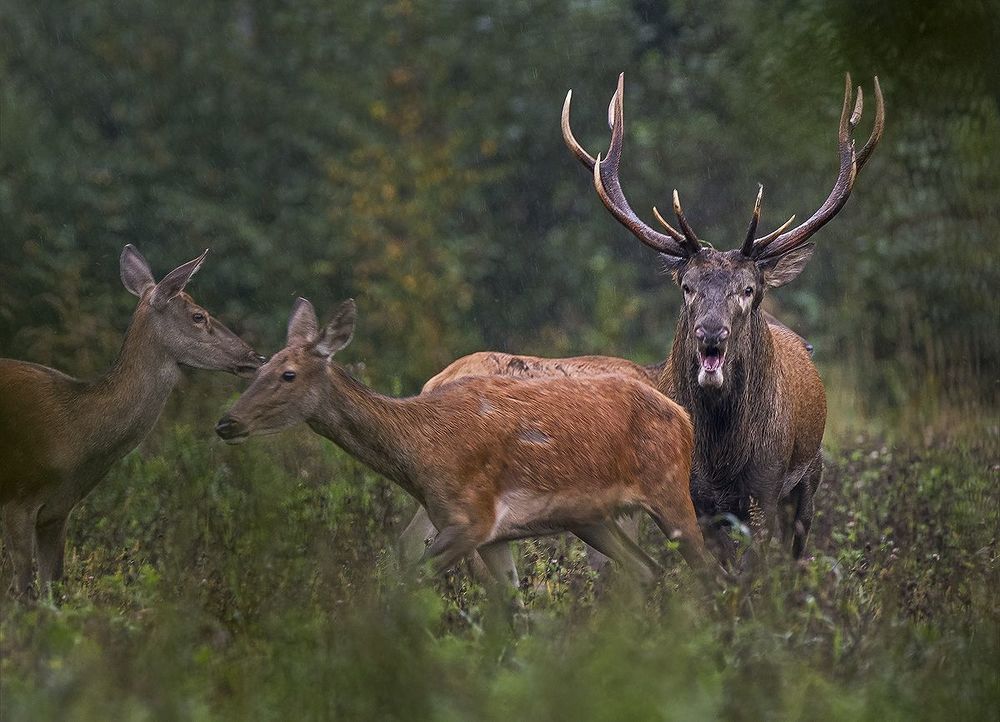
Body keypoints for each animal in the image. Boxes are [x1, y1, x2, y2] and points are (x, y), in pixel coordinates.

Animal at [0, 245, 264, 599]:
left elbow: (52, 588)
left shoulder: (57, 511)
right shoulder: (18, 498)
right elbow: (24, 592)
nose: (255, 358)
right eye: (199, 316)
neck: (73, 428)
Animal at [215, 297, 714, 598]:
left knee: (711, 574)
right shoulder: (493, 535)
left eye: (288, 374)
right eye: (258, 367)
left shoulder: (470, 519)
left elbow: (405, 582)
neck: (420, 452)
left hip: (670, 495)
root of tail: (682, 414)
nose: (226, 422)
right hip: (592, 518)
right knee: (648, 570)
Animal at [403, 72, 884, 572]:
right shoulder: (694, 495)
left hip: (809, 477)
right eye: (687, 286)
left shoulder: (765, 489)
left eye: (749, 289)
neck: (724, 456)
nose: (711, 332)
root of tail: (432, 382)